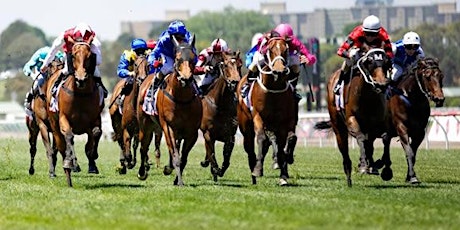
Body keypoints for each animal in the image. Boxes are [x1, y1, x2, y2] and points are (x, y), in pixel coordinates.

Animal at [47, 39, 103, 187]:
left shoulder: (95, 119)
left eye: (89, 56)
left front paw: (92, 158)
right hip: (54, 126)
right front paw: (71, 163)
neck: (80, 94)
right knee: (62, 144)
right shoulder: (63, 119)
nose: (80, 79)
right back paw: (68, 168)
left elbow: (96, 133)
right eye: (73, 56)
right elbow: (69, 136)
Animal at [137, 34, 201, 187]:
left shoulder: (192, 133)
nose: (186, 79)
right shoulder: (168, 127)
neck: (181, 99)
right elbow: (176, 156)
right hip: (145, 125)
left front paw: (176, 178)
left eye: (193, 58)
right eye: (178, 59)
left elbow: (183, 157)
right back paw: (142, 172)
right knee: (143, 146)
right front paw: (179, 180)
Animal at [199, 50, 241, 181]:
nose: (234, 82)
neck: (220, 104)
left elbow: (226, 159)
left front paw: (219, 170)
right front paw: (215, 169)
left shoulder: (230, 136)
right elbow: (212, 153)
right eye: (226, 65)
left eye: (239, 65)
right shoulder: (208, 133)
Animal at [235, 36, 296, 186]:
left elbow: (283, 143)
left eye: (286, 49)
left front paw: (283, 175)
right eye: (270, 49)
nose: (279, 70)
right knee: (250, 147)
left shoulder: (284, 121)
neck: (274, 88)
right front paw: (257, 169)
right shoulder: (258, 116)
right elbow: (262, 138)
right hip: (246, 125)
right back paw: (253, 172)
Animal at [312, 46, 392, 187]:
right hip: (338, 127)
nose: (382, 84)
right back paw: (349, 176)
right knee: (345, 151)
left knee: (369, 144)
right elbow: (360, 138)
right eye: (370, 62)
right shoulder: (351, 120)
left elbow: (385, 137)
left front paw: (384, 168)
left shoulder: (379, 123)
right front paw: (364, 165)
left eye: (386, 63)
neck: (368, 97)